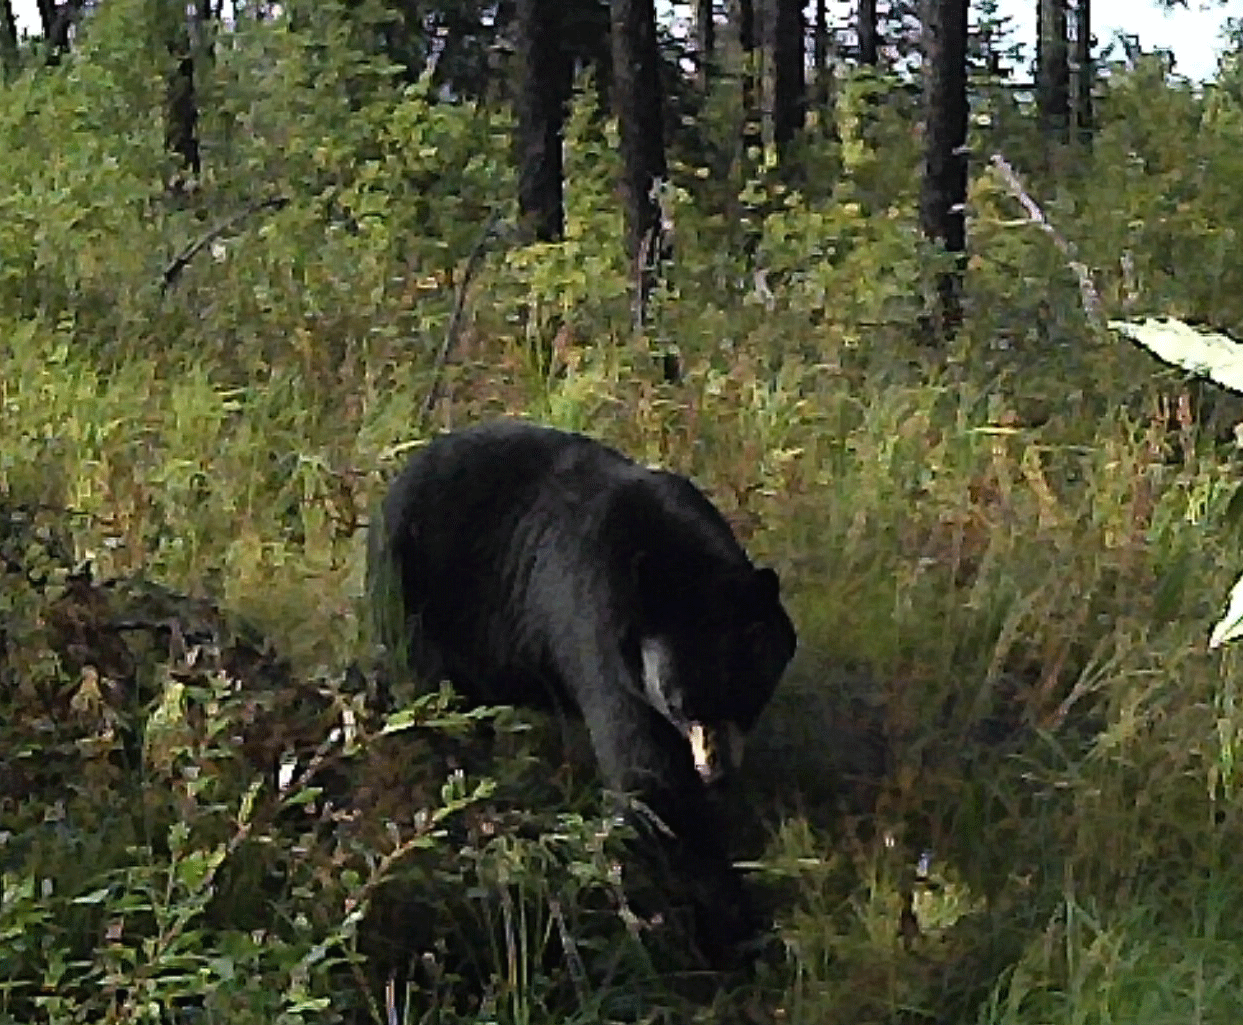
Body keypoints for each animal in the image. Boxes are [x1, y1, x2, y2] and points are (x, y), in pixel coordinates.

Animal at [365, 414, 795, 959]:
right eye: (678, 704)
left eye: (743, 697)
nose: (714, 773)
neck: (683, 569)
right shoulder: (601, 631)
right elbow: (646, 774)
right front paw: (729, 917)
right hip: (414, 599)